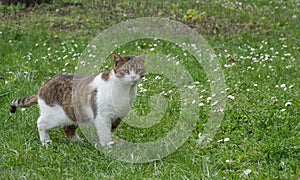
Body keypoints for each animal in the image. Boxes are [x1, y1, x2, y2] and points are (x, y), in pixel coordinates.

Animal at [9, 52, 145, 147]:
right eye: (126, 70)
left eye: (138, 70)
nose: (133, 77)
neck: (125, 91)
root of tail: (42, 87)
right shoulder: (102, 115)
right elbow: (105, 132)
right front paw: (107, 146)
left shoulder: (118, 116)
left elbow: (110, 131)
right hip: (55, 116)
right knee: (41, 123)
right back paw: (46, 141)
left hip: (73, 115)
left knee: (68, 129)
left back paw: (78, 141)